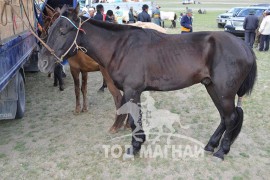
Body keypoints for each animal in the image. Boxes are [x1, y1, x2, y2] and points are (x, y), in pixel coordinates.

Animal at [38, 4, 258, 160]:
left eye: (63, 31)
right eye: (50, 28)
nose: (42, 63)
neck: (120, 47)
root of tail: (244, 46)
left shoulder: (131, 90)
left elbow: (134, 119)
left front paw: (134, 148)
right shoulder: (132, 92)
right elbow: (135, 118)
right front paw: (138, 143)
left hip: (224, 92)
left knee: (230, 118)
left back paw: (221, 152)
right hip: (212, 87)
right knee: (224, 117)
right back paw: (211, 145)